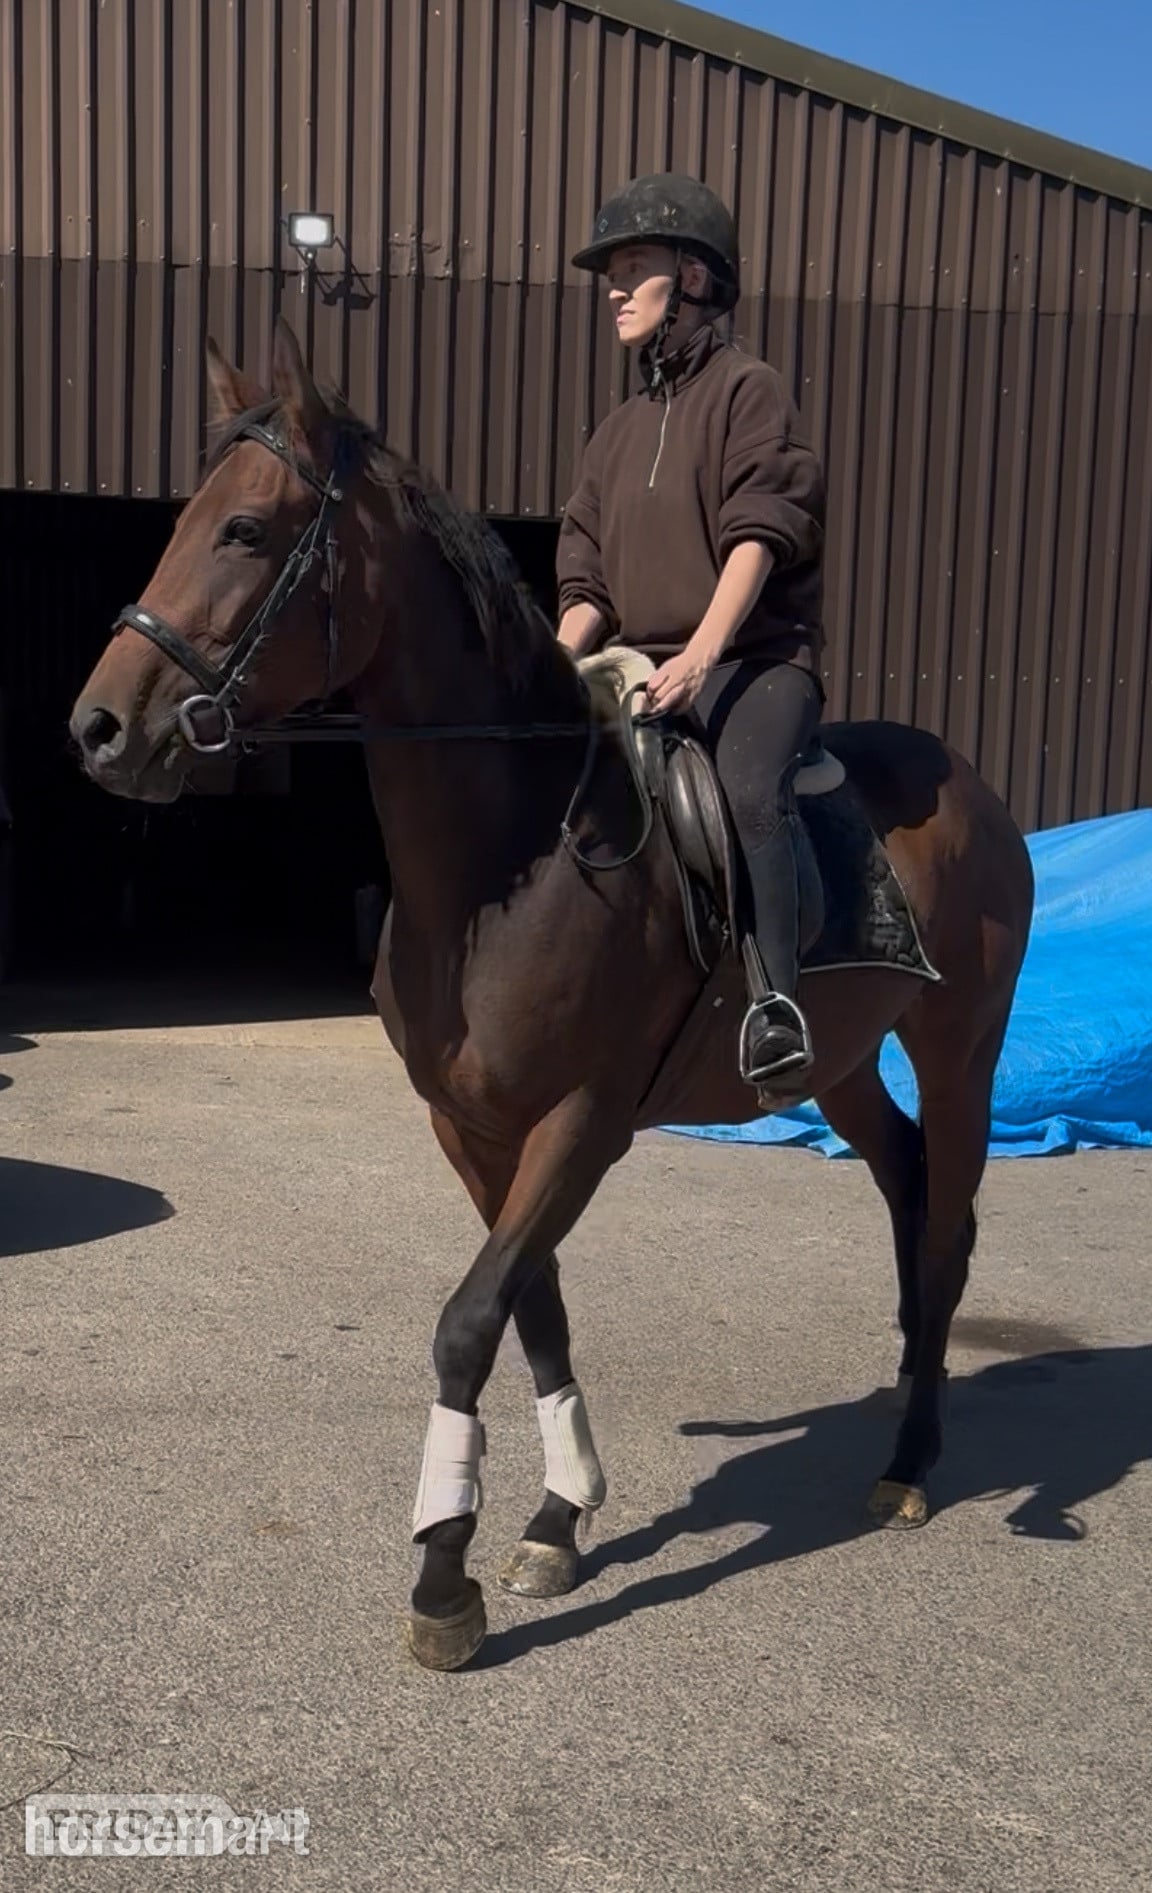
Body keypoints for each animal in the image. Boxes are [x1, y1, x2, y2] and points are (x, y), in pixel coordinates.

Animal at [70, 318, 1035, 1671]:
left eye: (247, 530)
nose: (99, 729)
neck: (510, 863)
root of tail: (977, 795)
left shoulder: (581, 1122)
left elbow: (470, 1319)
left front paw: (443, 1577)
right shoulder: (473, 1127)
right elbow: (538, 1313)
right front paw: (557, 1518)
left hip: (961, 1049)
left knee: (946, 1230)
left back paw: (909, 1462)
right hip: (843, 1067)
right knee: (904, 1189)